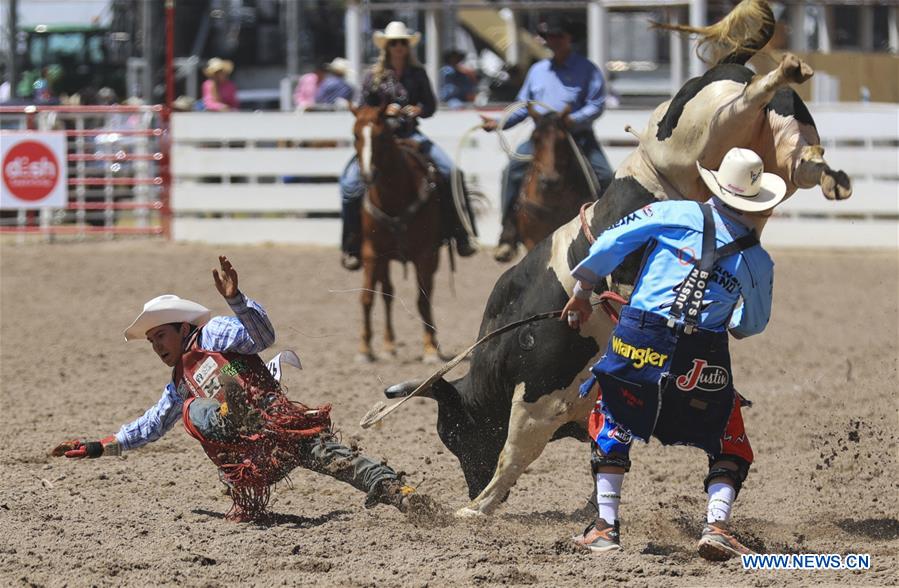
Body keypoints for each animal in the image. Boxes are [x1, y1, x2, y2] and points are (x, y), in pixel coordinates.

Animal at [354, 104, 444, 362]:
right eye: (355, 136)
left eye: (382, 136)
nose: (368, 175)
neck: (393, 199)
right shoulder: (371, 252)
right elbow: (367, 297)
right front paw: (364, 349)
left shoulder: (425, 254)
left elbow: (423, 300)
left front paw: (430, 348)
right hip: (384, 260)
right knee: (387, 293)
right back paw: (388, 344)